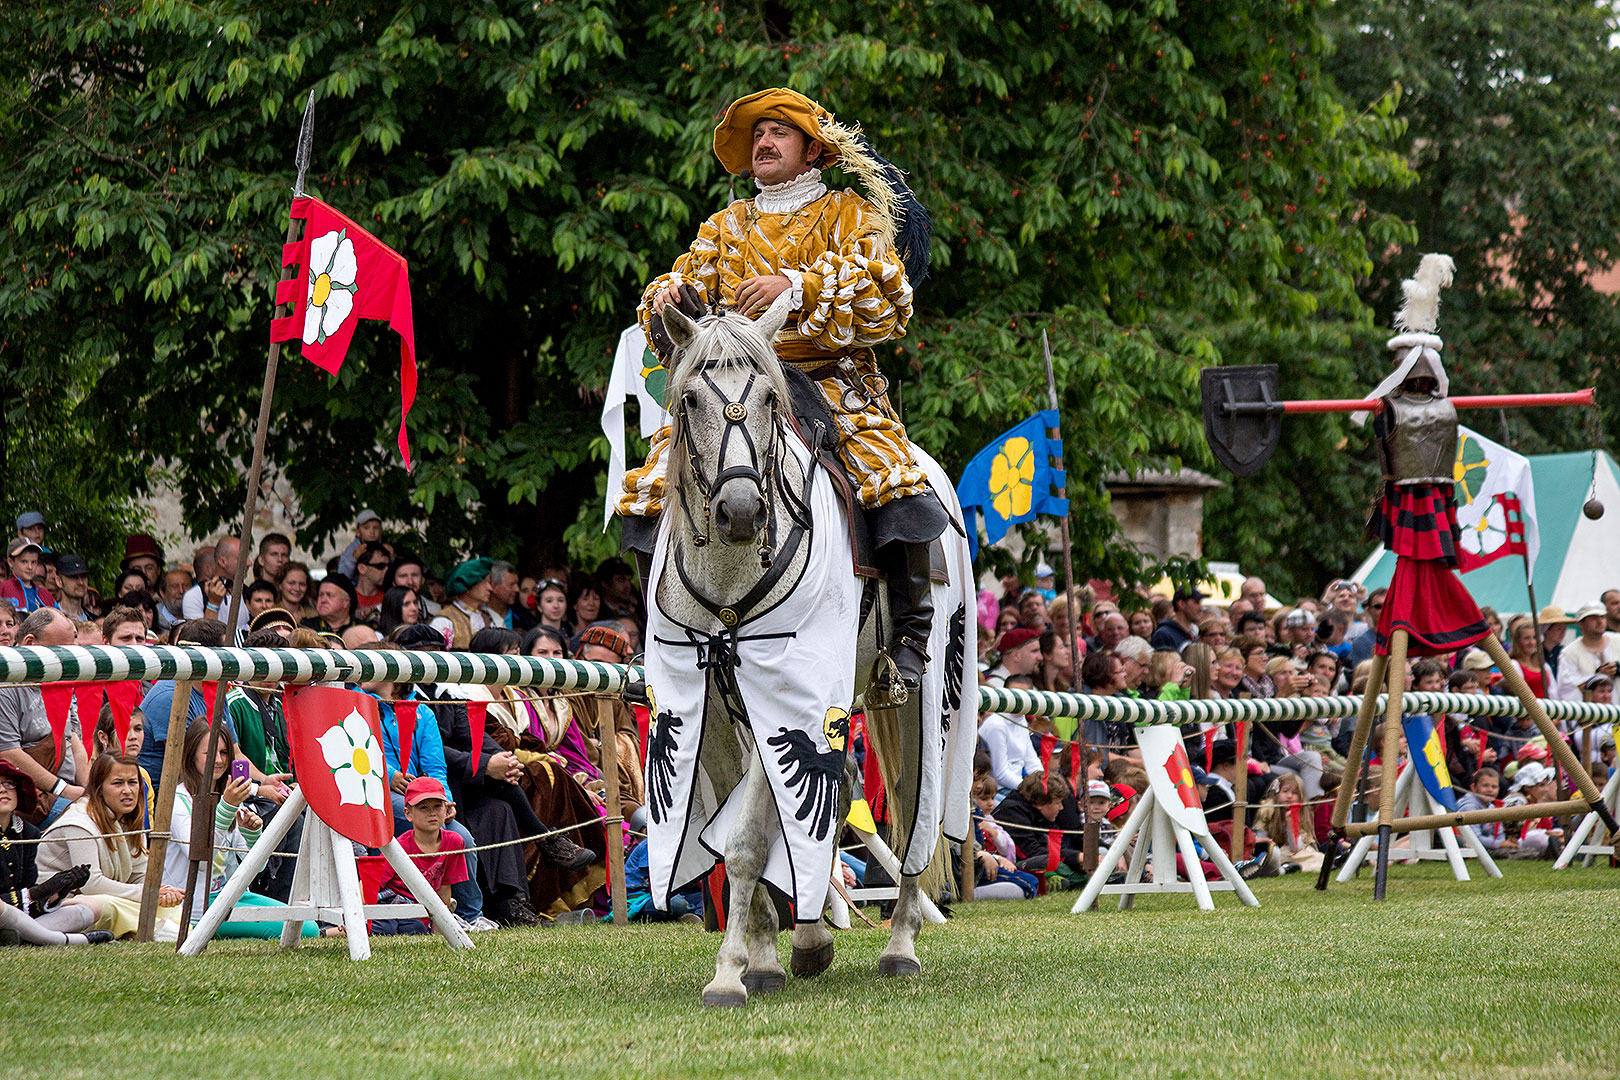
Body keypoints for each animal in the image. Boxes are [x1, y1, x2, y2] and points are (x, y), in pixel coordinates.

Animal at [638, 293, 972, 1003]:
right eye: (689, 400)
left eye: (769, 398)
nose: (740, 511)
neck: (731, 577)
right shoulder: (710, 712)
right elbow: (744, 835)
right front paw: (768, 956)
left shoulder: (790, 698)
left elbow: (744, 840)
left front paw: (731, 973)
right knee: (842, 794)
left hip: (921, 697)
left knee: (915, 811)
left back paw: (901, 943)